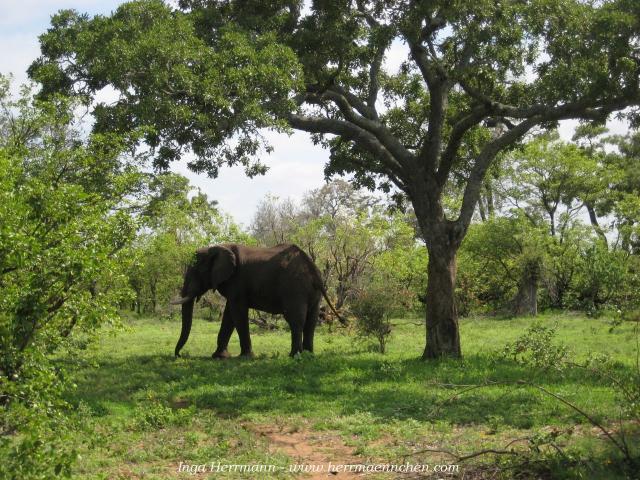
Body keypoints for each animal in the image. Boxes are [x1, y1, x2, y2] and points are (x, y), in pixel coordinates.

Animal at [170, 244, 344, 356]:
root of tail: (313, 269)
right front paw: (219, 356)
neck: (216, 247)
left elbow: (237, 312)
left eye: (196, 271)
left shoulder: (237, 281)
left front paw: (245, 357)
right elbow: (229, 315)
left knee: (296, 320)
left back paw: (294, 356)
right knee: (311, 321)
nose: (179, 355)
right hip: (313, 293)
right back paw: (309, 355)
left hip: (295, 287)